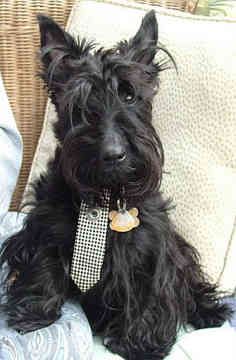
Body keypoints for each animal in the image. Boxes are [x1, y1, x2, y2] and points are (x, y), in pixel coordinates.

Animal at [0, 9, 231, 358]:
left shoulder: (151, 251)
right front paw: (34, 314)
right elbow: (43, 268)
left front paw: (141, 343)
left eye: (130, 94)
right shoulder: (45, 231)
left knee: (191, 284)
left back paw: (209, 310)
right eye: (79, 102)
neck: (106, 194)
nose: (113, 154)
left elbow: (149, 293)